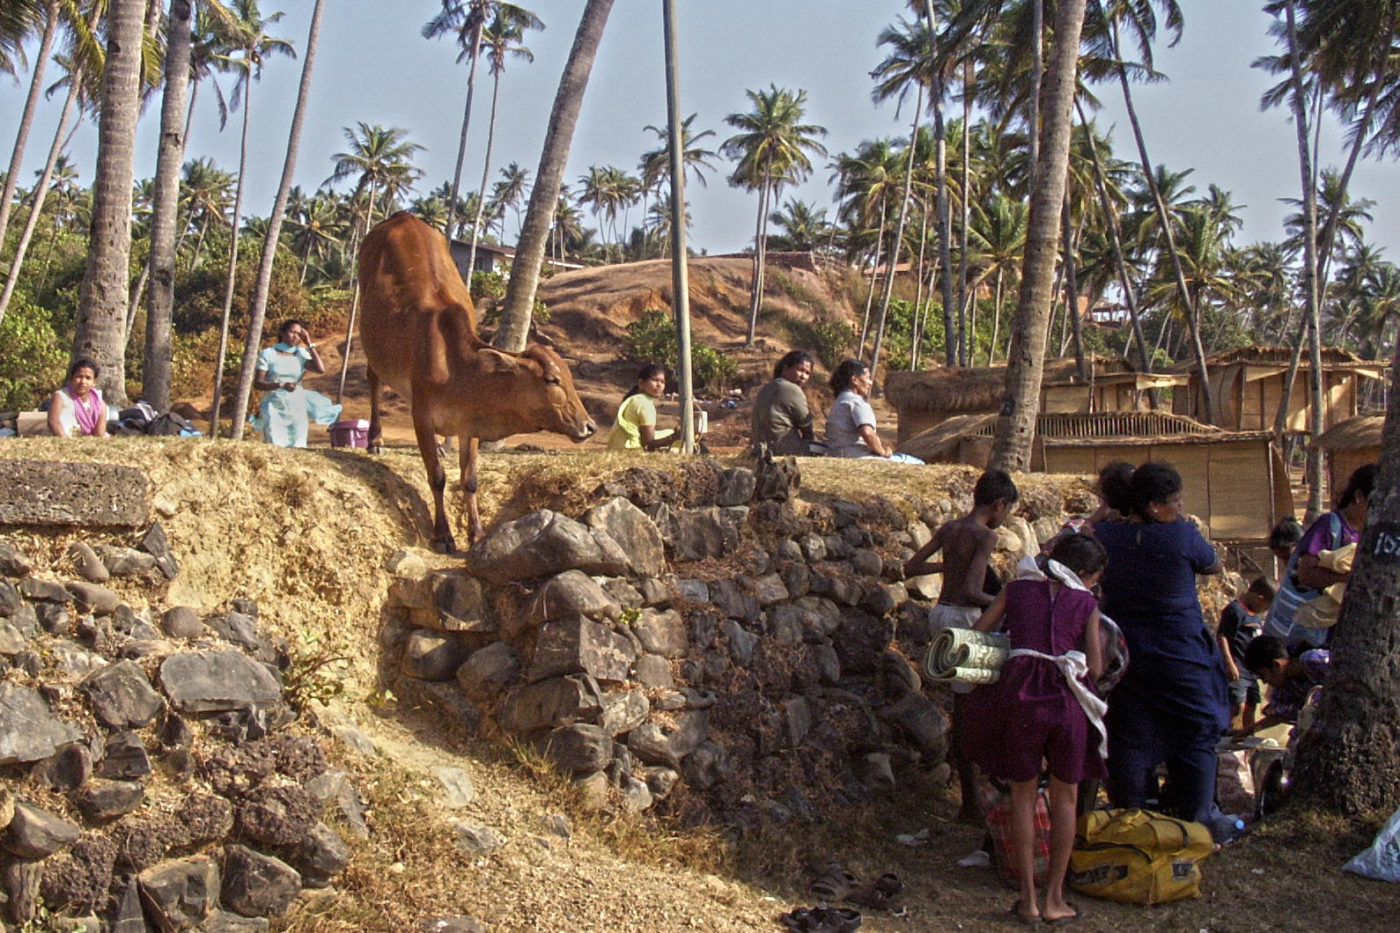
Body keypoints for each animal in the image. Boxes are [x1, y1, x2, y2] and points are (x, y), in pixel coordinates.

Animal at [355, 212, 596, 549]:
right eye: (552, 380)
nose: (589, 426)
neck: (456, 367)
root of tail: (404, 215)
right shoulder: (422, 417)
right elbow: (437, 477)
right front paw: (443, 534)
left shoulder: (469, 426)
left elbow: (469, 480)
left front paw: (477, 532)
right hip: (370, 338)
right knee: (374, 381)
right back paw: (375, 440)